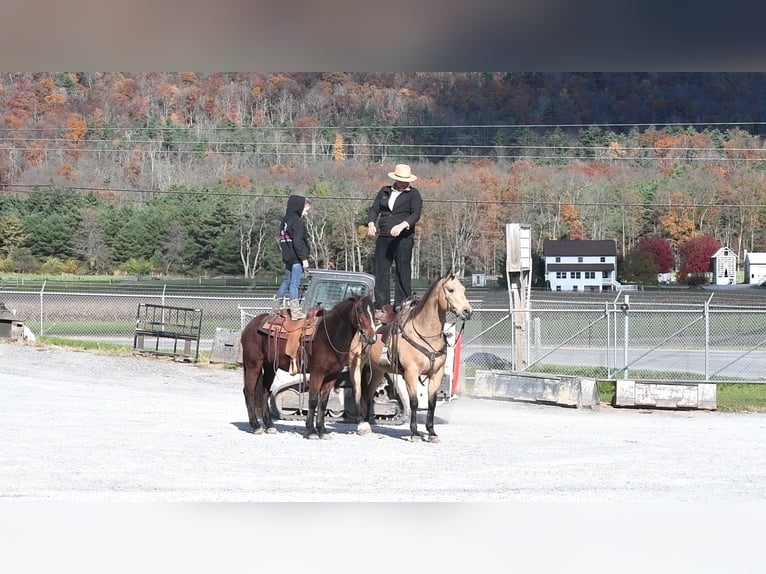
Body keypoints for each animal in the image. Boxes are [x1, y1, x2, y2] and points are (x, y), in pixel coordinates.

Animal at [242, 296, 380, 440]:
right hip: (253, 365)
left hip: (269, 368)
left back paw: (269, 425)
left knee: (264, 393)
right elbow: (313, 400)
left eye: (374, 311)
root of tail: (250, 326)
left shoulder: (332, 376)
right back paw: (256, 426)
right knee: (249, 392)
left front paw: (323, 431)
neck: (330, 335)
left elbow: (323, 402)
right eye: (359, 310)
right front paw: (312, 431)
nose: (372, 337)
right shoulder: (317, 373)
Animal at [350, 274, 474, 446]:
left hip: (377, 370)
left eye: (463, 289)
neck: (425, 331)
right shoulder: (411, 373)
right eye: (450, 289)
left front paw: (432, 433)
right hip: (356, 365)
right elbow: (414, 402)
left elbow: (431, 403)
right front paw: (415, 433)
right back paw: (361, 424)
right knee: (358, 390)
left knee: (368, 393)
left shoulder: (436, 374)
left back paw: (369, 423)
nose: (467, 311)